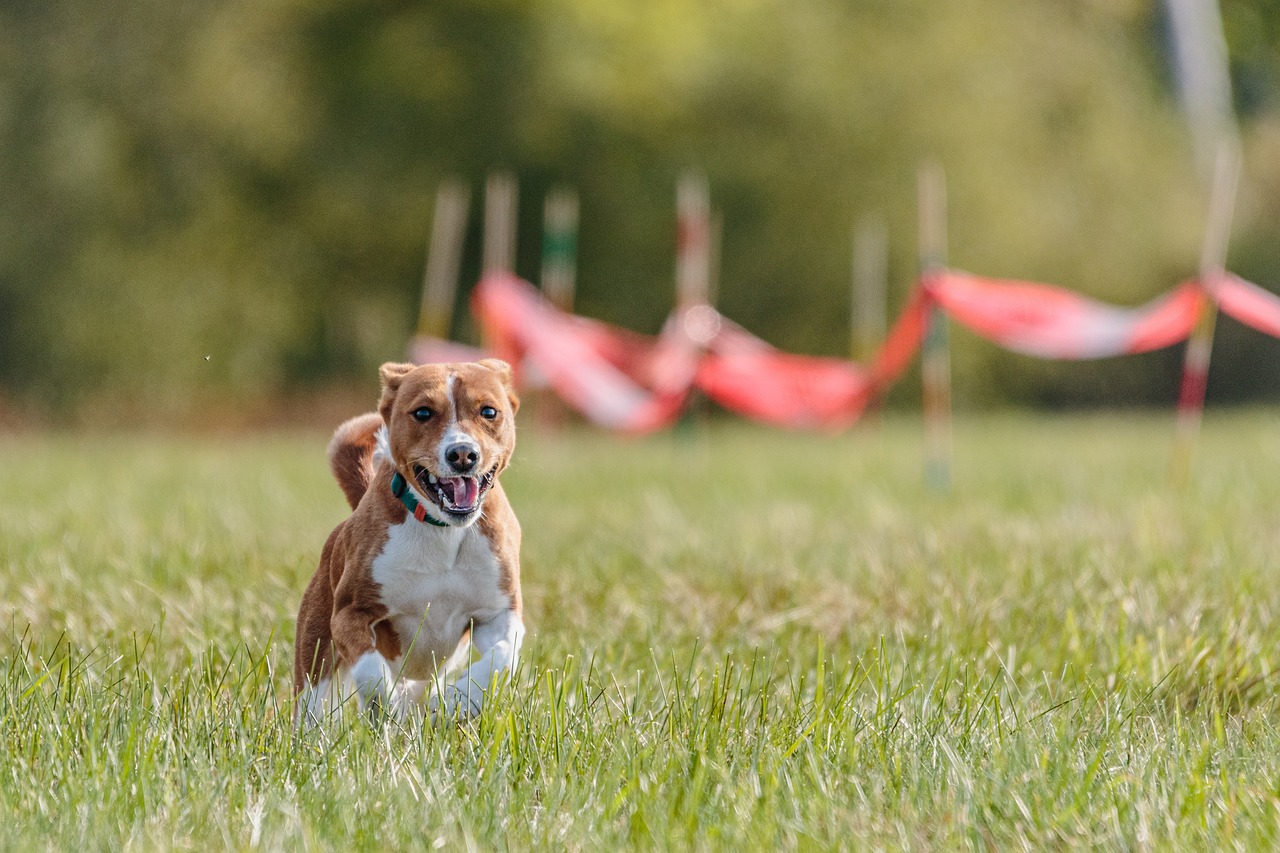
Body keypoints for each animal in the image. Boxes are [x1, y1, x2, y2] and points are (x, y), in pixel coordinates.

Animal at [293, 358, 522, 722]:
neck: (443, 529)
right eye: (423, 412)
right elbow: (370, 668)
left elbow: (503, 655)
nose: (462, 453)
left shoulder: (498, 611)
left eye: (489, 411)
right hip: (315, 649)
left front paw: (461, 699)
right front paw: (384, 702)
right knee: (312, 703)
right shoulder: (351, 612)